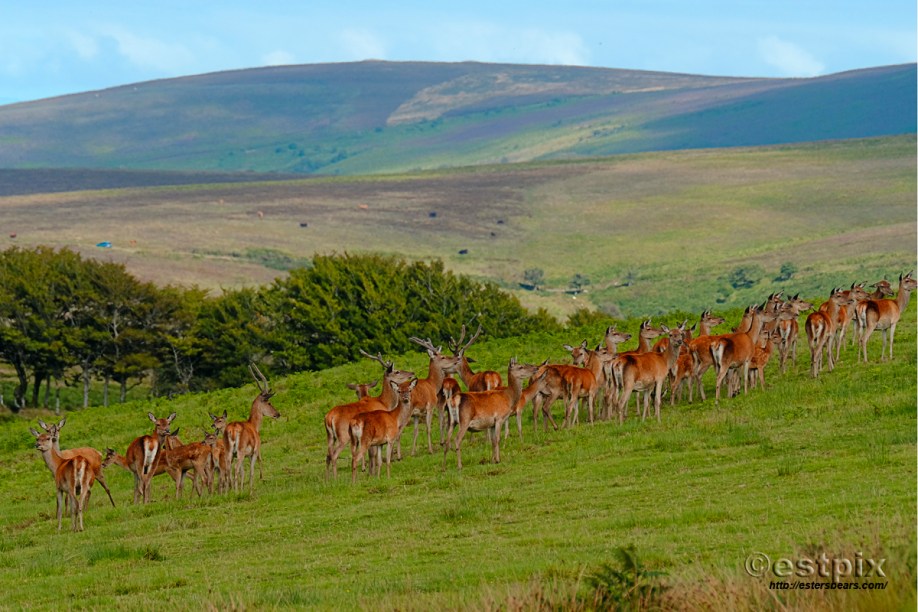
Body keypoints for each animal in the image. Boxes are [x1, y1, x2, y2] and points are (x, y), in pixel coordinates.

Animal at [224, 364, 280, 493]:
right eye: (269, 402)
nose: (277, 414)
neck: (253, 425)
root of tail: (232, 429)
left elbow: (243, 473)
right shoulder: (253, 453)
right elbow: (251, 472)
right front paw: (250, 491)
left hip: (230, 453)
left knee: (228, 470)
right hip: (240, 452)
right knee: (235, 469)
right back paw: (236, 492)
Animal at [325, 350, 415, 479]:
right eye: (397, 371)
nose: (412, 373)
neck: (385, 403)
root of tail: (329, 417)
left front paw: (370, 473)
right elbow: (373, 454)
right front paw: (372, 473)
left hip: (330, 436)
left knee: (327, 456)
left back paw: (327, 479)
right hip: (343, 436)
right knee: (334, 455)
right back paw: (336, 478)